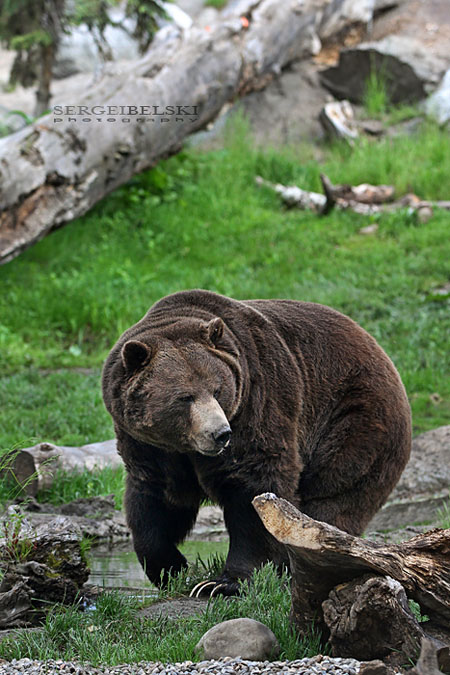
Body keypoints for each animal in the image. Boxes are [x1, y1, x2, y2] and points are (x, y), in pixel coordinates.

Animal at [102, 289, 411, 595]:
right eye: (185, 397)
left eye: (217, 389)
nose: (220, 433)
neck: (184, 447)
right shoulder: (149, 446)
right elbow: (156, 502)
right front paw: (171, 568)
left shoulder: (258, 400)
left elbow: (255, 488)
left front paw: (221, 583)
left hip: (353, 420)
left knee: (332, 497)